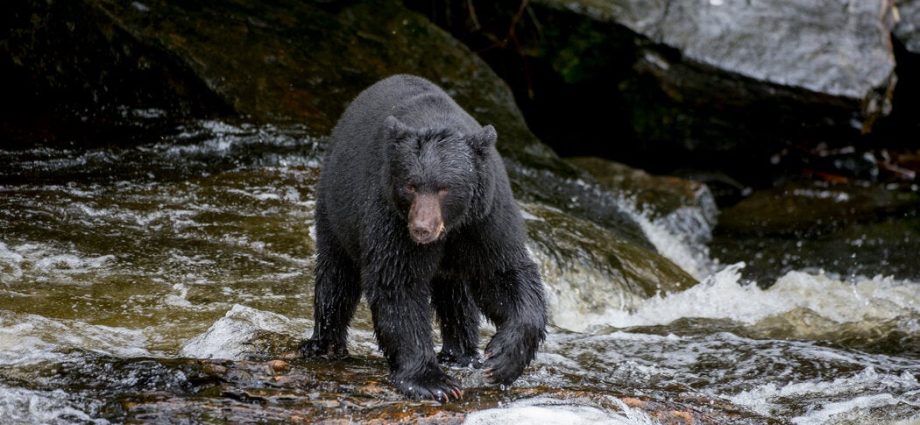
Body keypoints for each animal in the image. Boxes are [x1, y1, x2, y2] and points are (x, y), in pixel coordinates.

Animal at [300, 74, 547, 401]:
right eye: (411, 185)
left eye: (445, 188)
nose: (421, 229)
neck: (451, 227)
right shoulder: (389, 214)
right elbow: (398, 282)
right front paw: (432, 381)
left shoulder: (485, 217)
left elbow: (504, 273)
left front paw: (502, 359)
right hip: (336, 205)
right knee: (336, 275)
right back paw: (323, 344)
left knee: (456, 295)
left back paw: (461, 353)